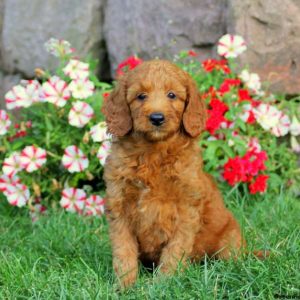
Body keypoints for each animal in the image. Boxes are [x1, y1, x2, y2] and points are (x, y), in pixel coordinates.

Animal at [103, 59, 248, 288]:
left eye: (172, 95)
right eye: (141, 96)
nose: (156, 118)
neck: (153, 153)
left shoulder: (186, 208)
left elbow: (175, 250)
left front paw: (164, 283)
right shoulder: (119, 205)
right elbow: (123, 250)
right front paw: (125, 285)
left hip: (229, 238)